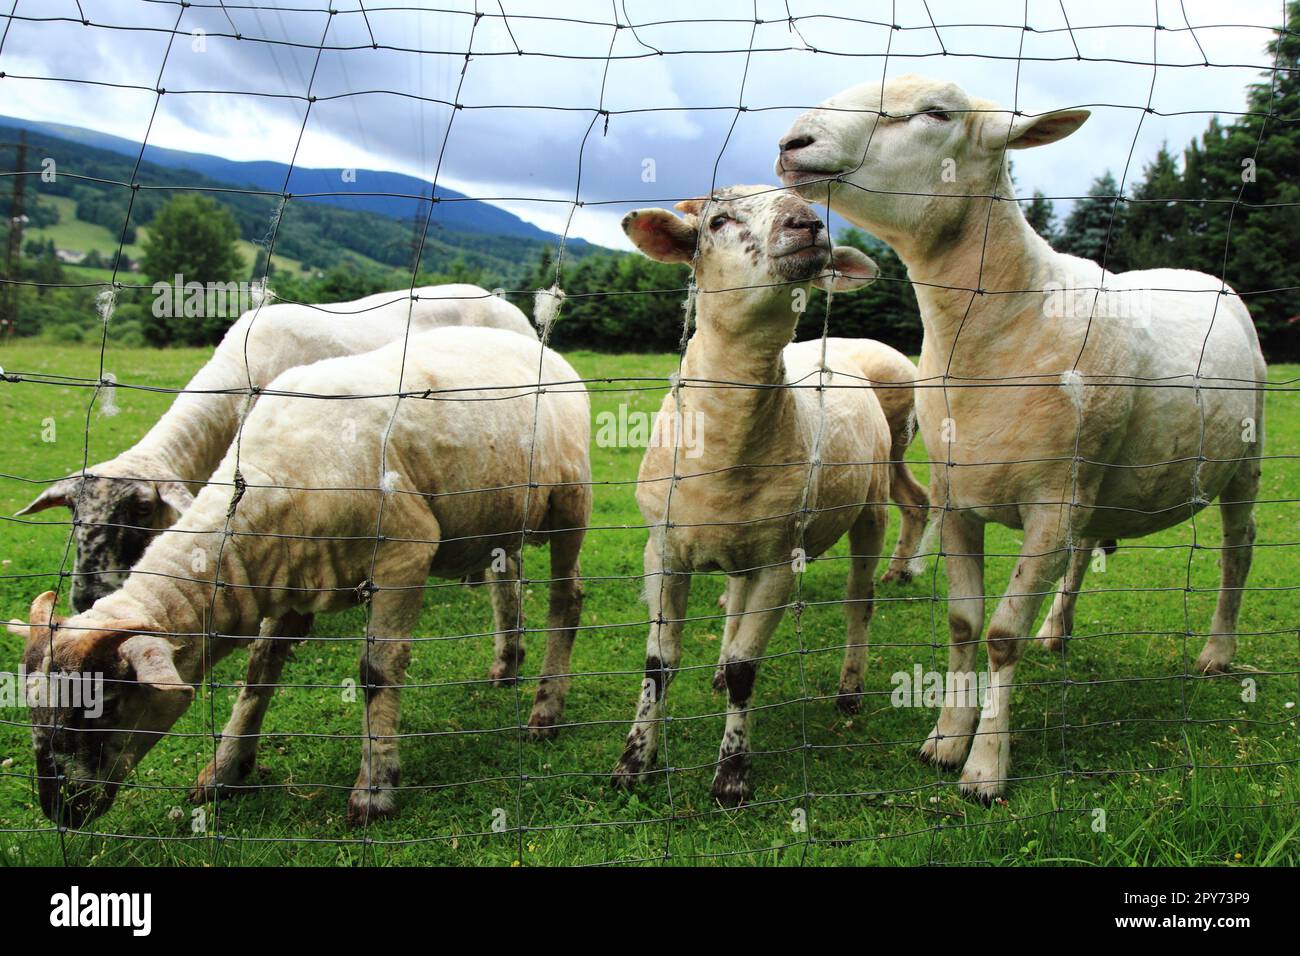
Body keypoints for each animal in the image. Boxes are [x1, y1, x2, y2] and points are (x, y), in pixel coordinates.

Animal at [9, 326, 590, 826]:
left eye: (104, 706)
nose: (59, 812)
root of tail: (529, 340)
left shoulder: (406, 551)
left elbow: (377, 671)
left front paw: (374, 791)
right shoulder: (284, 576)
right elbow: (259, 670)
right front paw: (225, 771)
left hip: (570, 501)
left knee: (567, 600)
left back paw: (545, 710)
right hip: (499, 515)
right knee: (508, 579)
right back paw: (507, 665)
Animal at [609, 185, 890, 806]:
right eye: (718, 220)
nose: (808, 223)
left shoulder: (780, 562)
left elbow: (747, 668)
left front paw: (732, 774)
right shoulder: (662, 551)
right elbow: (658, 663)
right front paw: (633, 763)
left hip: (873, 508)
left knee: (859, 601)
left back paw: (850, 689)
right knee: (735, 602)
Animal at [776, 75, 1266, 801]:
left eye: (935, 113)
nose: (793, 143)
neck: (1002, 320)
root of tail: (1200, 275)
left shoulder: (1049, 508)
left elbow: (1002, 635)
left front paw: (985, 768)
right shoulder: (961, 500)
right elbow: (963, 623)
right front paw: (946, 739)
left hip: (1243, 462)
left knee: (1238, 550)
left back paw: (1216, 652)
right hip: (1096, 481)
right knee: (1090, 547)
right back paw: (1057, 634)